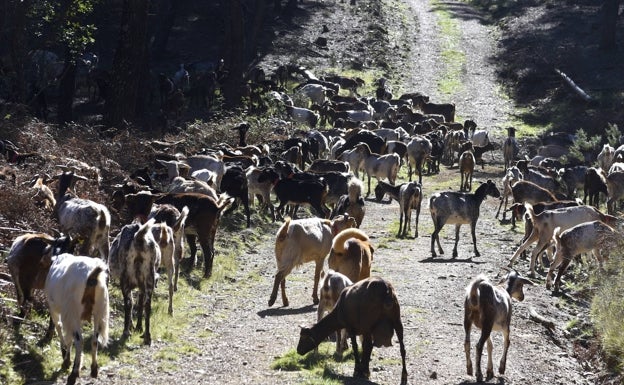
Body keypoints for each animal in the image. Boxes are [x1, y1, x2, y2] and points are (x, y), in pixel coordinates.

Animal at [45, 254, 109, 382]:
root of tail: (92, 276)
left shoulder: (58, 310)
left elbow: (61, 329)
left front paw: (66, 357)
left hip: (73, 310)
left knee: (79, 340)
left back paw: (74, 373)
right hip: (99, 310)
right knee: (94, 340)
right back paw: (94, 369)